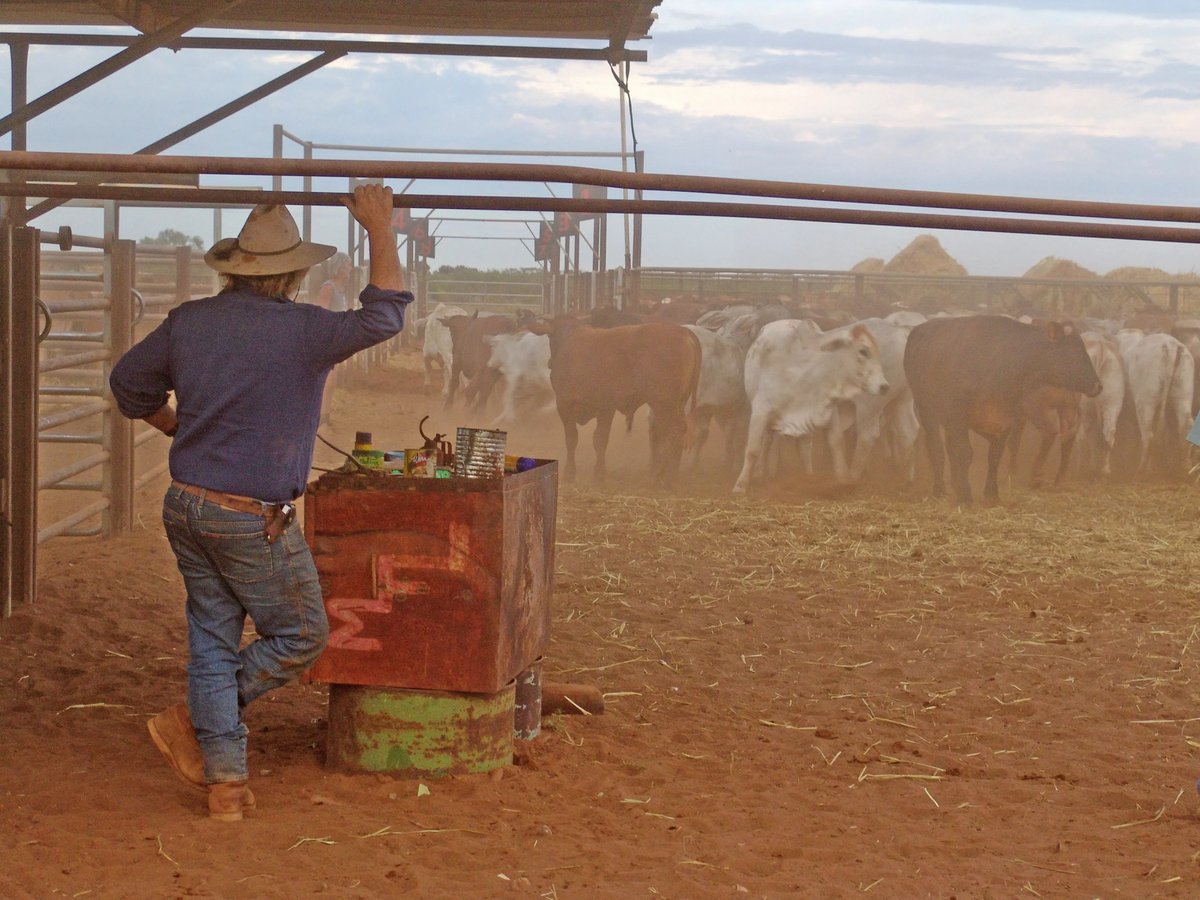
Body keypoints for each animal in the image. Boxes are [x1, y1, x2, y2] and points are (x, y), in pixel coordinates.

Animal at [528, 314, 700, 487]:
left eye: (550, 336)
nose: (550, 363)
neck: (569, 340)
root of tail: (683, 331)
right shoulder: (606, 407)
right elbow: (601, 440)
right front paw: (599, 474)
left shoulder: (564, 404)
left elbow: (573, 439)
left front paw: (570, 474)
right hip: (676, 403)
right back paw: (664, 474)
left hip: (664, 403)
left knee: (674, 431)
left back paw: (668, 477)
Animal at [729, 321, 892, 496]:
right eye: (863, 351)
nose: (884, 386)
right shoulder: (761, 412)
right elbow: (753, 449)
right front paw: (740, 485)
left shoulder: (826, 410)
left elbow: (836, 443)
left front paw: (843, 479)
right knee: (767, 442)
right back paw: (759, 473)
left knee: (804, 448)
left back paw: (808, 476)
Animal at [902, 316, 1099, 504]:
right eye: (1074, 351)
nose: (1099, 385)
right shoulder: (959, 417)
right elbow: (965, 453)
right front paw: (965, 496)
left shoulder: (1003, 420)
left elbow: (995, 455)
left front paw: (991, 493)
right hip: (928, 412)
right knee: (937, 448)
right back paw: (940, 490)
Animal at [1108, 328, 1195, 472]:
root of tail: (1170, 344)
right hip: (1183, 396)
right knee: (1185, 427)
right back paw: (1185, 467)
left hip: (1145, 402)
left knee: (1148, 434)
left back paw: (1141, 469)